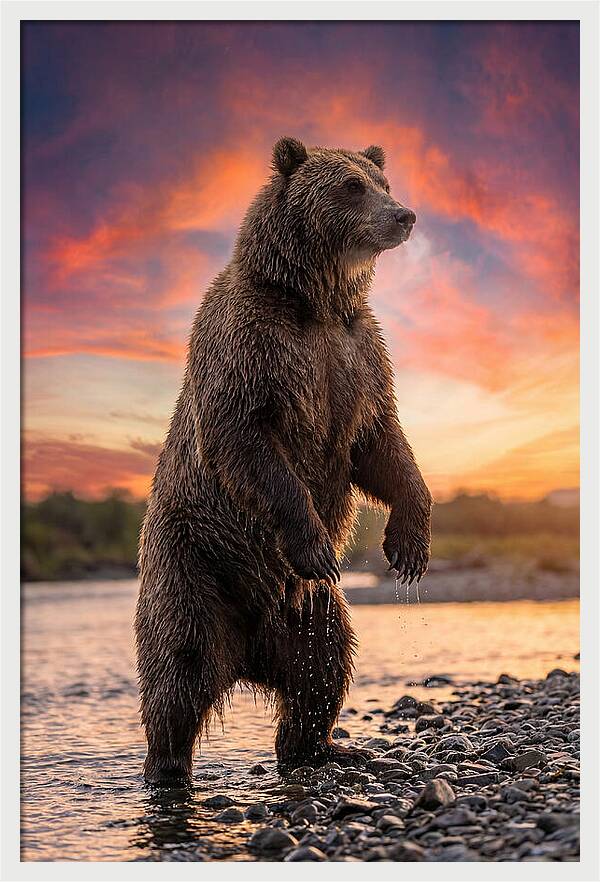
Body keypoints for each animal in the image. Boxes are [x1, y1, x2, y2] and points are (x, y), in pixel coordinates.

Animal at [135, 137, 432, 784]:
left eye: (382, 180)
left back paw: (323, 746)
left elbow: (382, 444)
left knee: (323, 666)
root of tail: (248, 652)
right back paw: (167, 767)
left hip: (309, 611)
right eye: (351, 186)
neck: (315, 301)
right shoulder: (253, 346)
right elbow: (248, 441)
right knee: (180, 668)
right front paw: (317, 542)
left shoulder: (357, 356)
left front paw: (409, 545)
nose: (403, 215)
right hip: (195, 564)